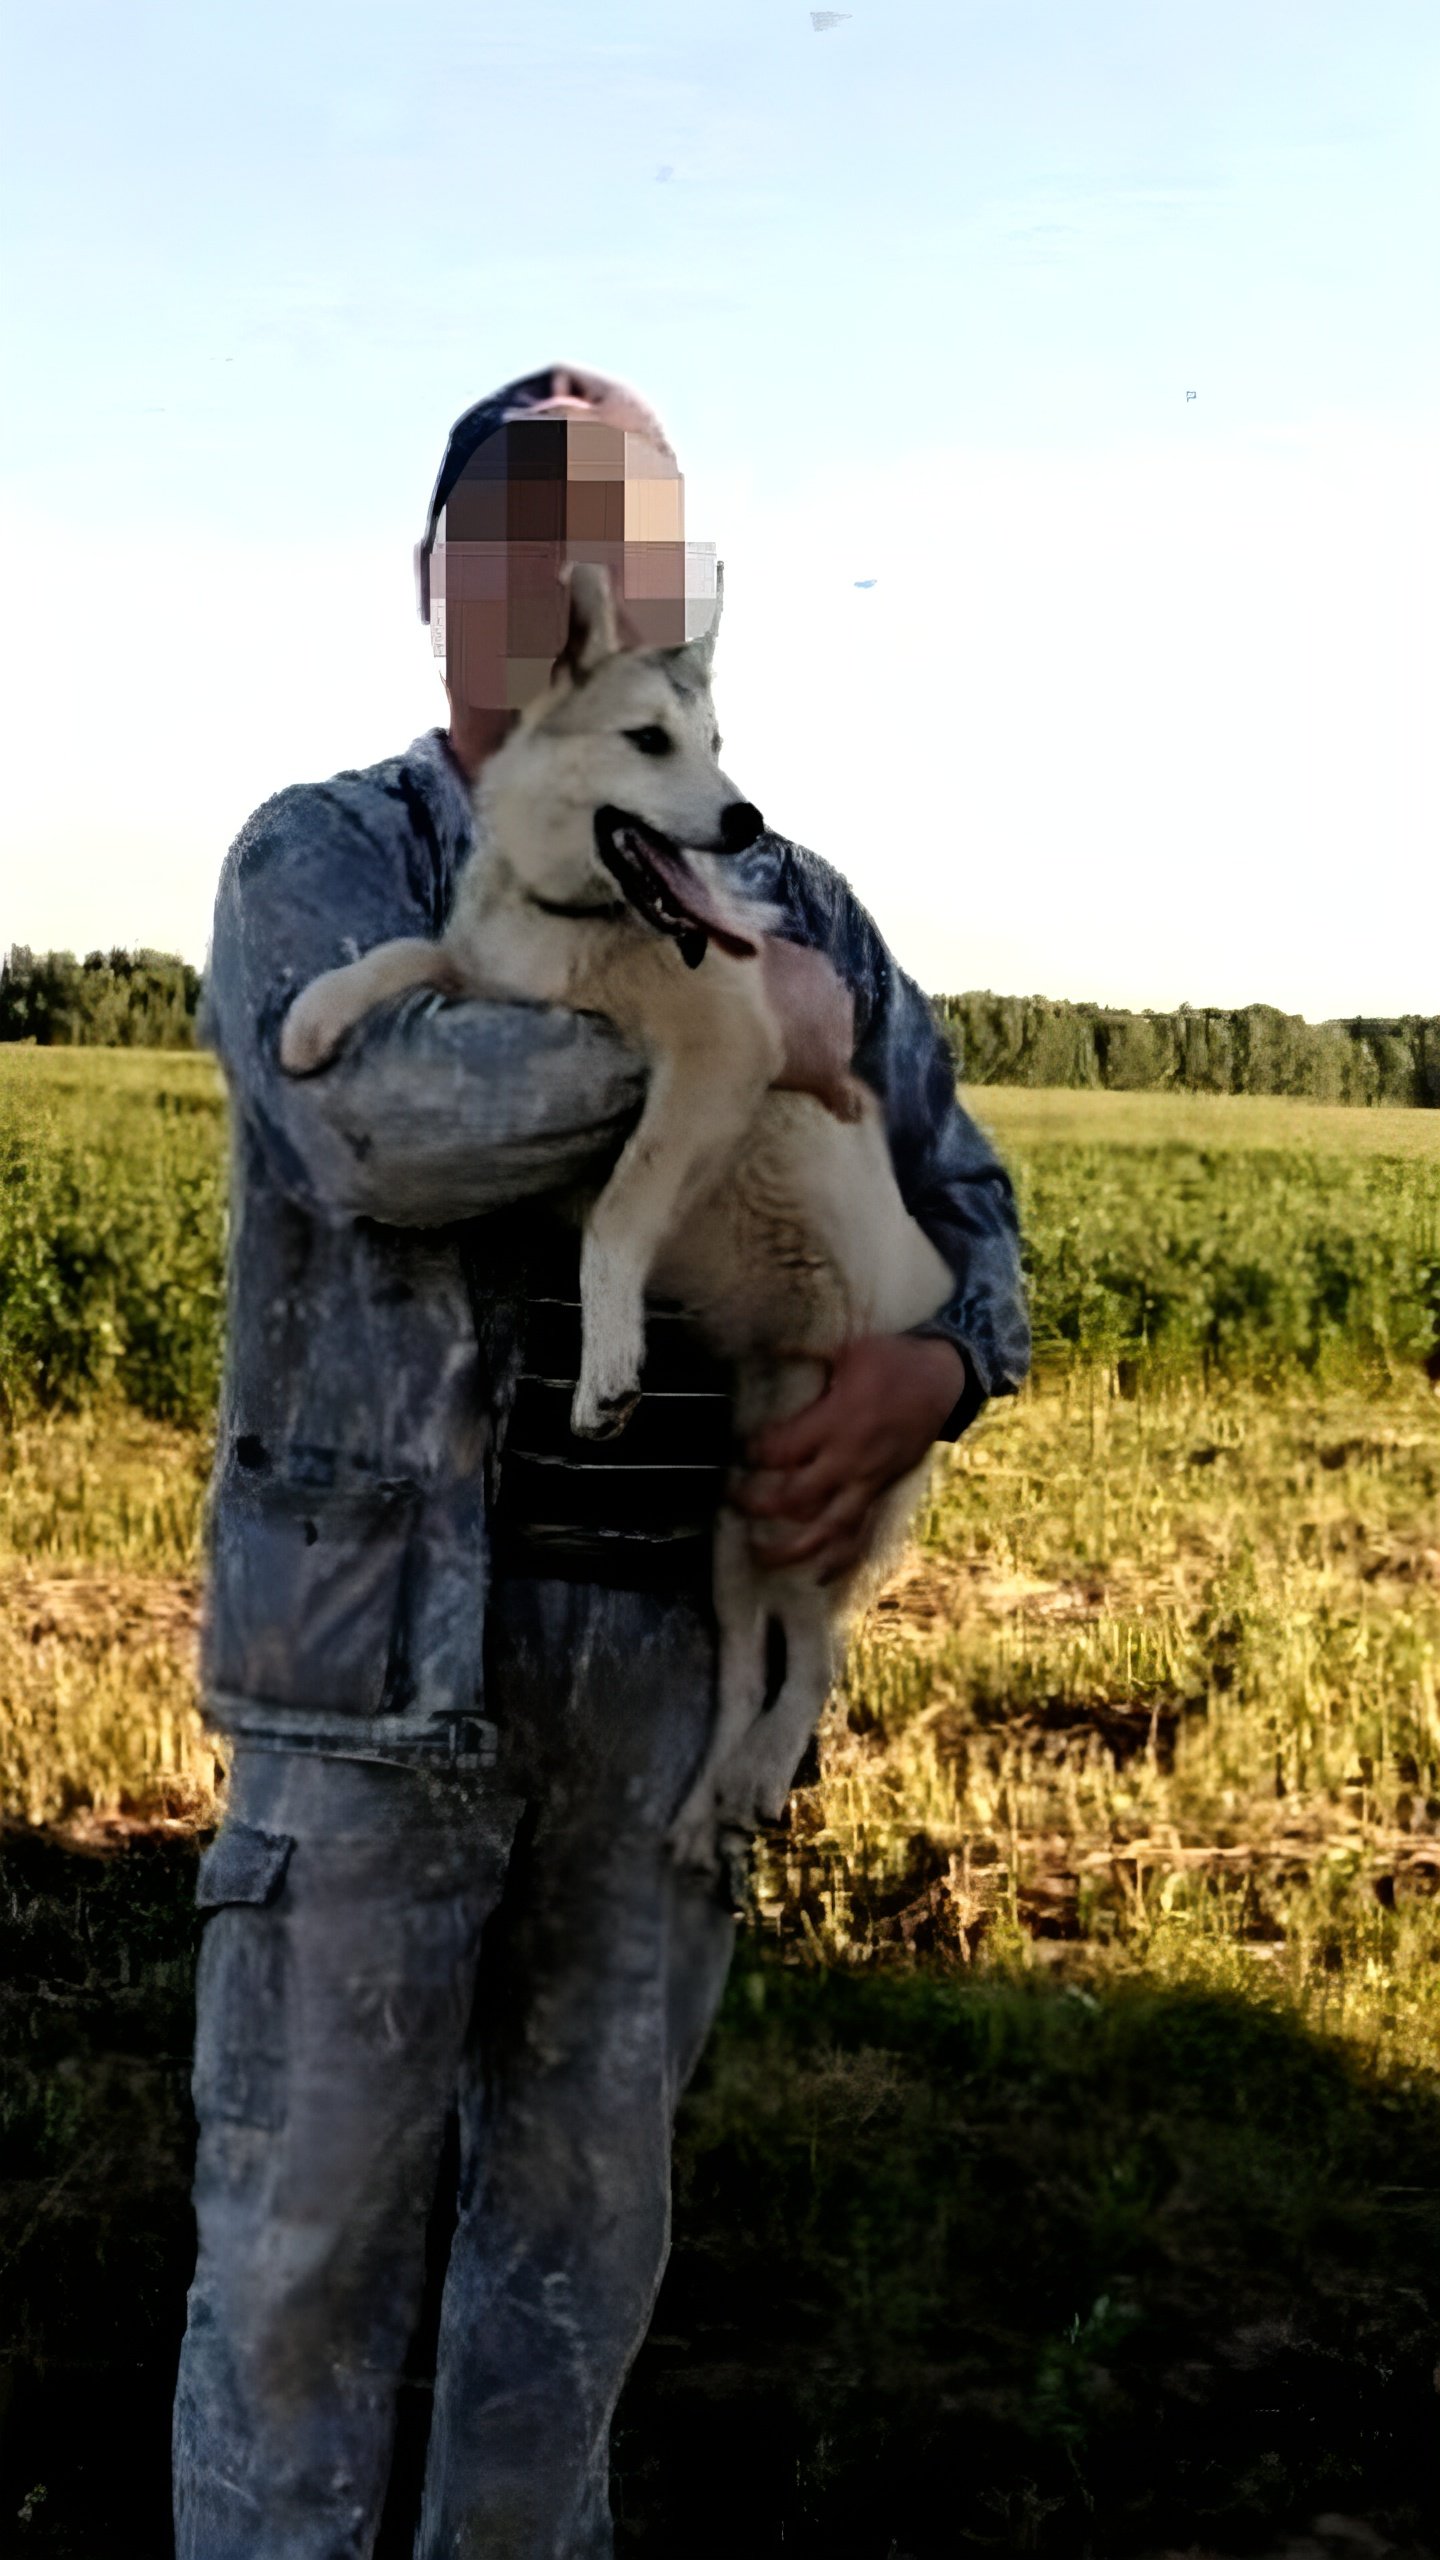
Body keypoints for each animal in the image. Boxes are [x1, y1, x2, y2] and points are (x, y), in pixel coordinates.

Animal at [280, 570, 953, 1873]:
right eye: (648, 739)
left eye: (719, 743)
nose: (745, 819)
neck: (578, 924)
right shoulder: (493, 992)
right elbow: (409, 946)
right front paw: (312, 1016)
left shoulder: (717, 1057)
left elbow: (622, 1213)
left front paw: (608, 1368)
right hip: (736, 1520)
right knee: (744, 1669)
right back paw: (700, 1808)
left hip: (814, 1495)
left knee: (816, 1658)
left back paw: (754, 1780)